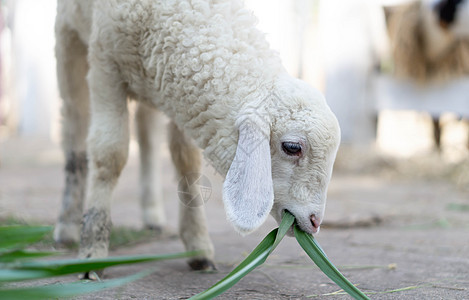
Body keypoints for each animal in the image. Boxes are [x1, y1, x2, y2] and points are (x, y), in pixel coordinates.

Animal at [54, 0, 340, 274]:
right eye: (292, 147)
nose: (315, 222)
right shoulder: (105, 65)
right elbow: (109, 154)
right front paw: (92, 255)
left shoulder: (176, 88)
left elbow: (186, 160)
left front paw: (198, 248)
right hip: (69, 39)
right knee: (73, 124)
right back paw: (67, 227)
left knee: (147, 134)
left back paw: (152, 214)